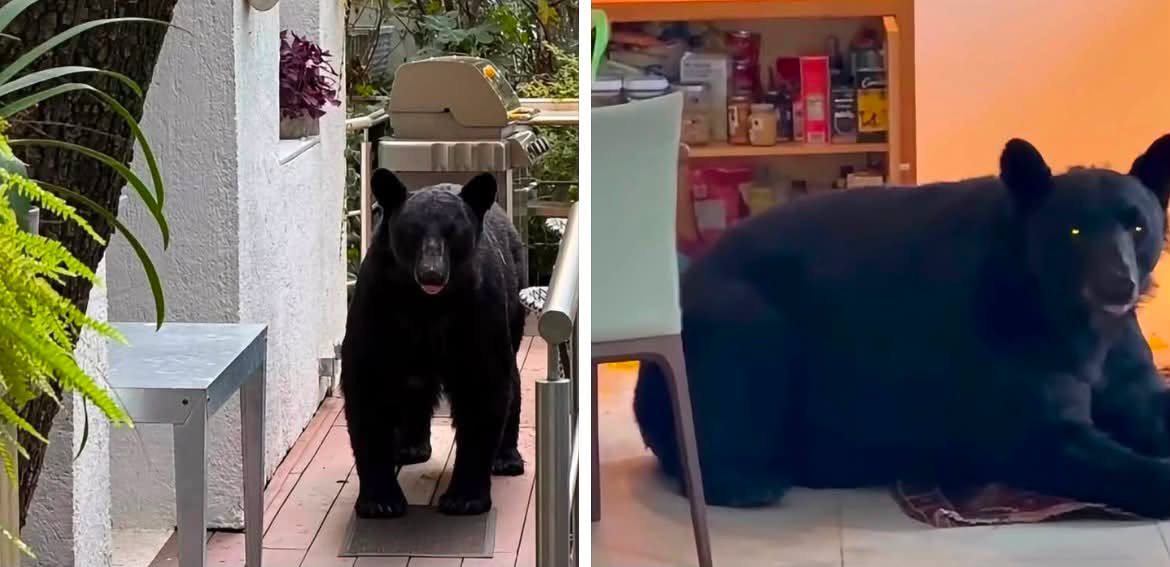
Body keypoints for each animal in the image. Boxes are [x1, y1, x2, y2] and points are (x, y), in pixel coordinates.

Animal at [340, 168, 527, 518]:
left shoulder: (477, 310)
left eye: (453, 232)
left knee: (512, 378)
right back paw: (410, 446)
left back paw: (506, 457)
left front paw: (465, 498)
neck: (427, 306)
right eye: (412, 231)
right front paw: (380, 501)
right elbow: (368, 387)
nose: (431, 274)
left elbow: (483, 386)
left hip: (515, 299)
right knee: (414, 384)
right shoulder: (378, 305)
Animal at [634, 134, 1170, 518]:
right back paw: (748, 480)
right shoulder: (1011, 355)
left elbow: (1145, 400)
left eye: (1138, 226)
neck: (1066, 313)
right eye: (1073, 231)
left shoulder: (1123, 357)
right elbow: (1051, 436)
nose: (1117, 285)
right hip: (747, 321)